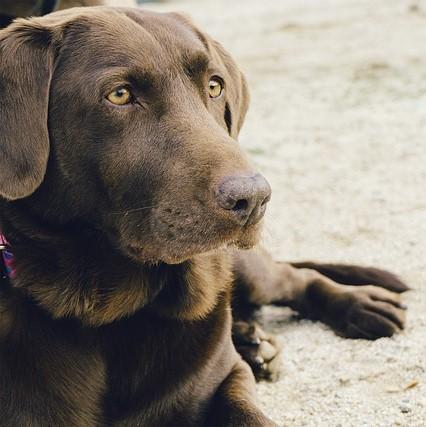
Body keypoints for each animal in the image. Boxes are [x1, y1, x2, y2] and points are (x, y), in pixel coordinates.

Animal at [0, 5, 408, 426]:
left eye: (214, 86)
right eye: (119, 94)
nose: (253, 198)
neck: (115, 314)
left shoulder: (225, 378)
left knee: (294, 277)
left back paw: (359, 305)